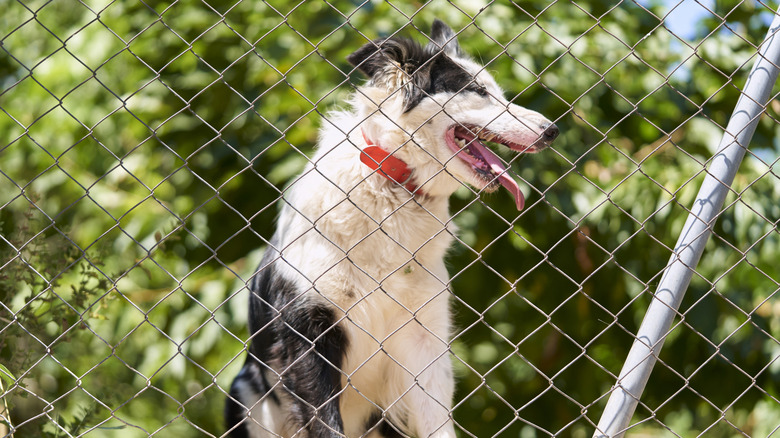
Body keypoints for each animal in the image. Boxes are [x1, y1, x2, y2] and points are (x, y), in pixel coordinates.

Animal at [225, 18, 560, 436]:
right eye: (479, 92)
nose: (553, 130)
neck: (392, 190)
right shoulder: (308, 335)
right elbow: (327, 423)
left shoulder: (424, 340)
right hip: (248, 397)